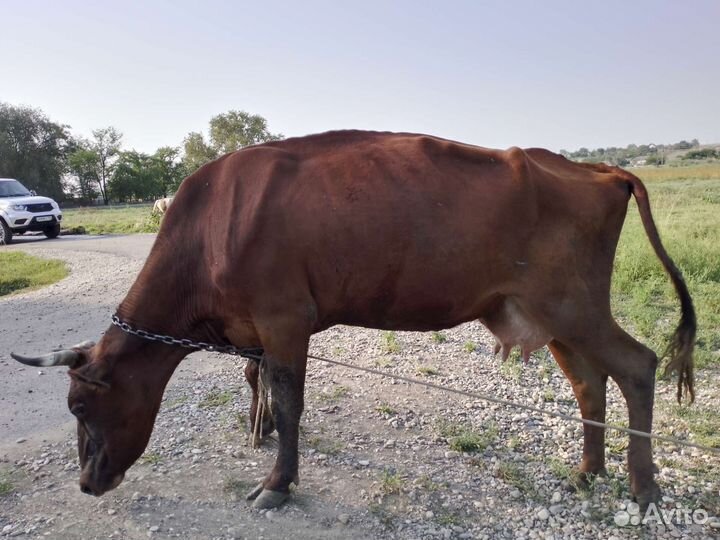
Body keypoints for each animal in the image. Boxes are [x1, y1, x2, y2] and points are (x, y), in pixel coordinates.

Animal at [11, 130, 695, 511]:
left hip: (573, 304)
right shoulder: (259, 331)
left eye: (79, 406)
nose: (86, 484)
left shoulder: (284, 320)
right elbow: (264, 391)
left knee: (638, 366)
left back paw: (643, 487)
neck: (211, 229)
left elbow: (290, 404)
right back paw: (587, 473)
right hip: (548, 314)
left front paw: (277, 483)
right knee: (589, 382)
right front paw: (261, 440)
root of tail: (598, 169)